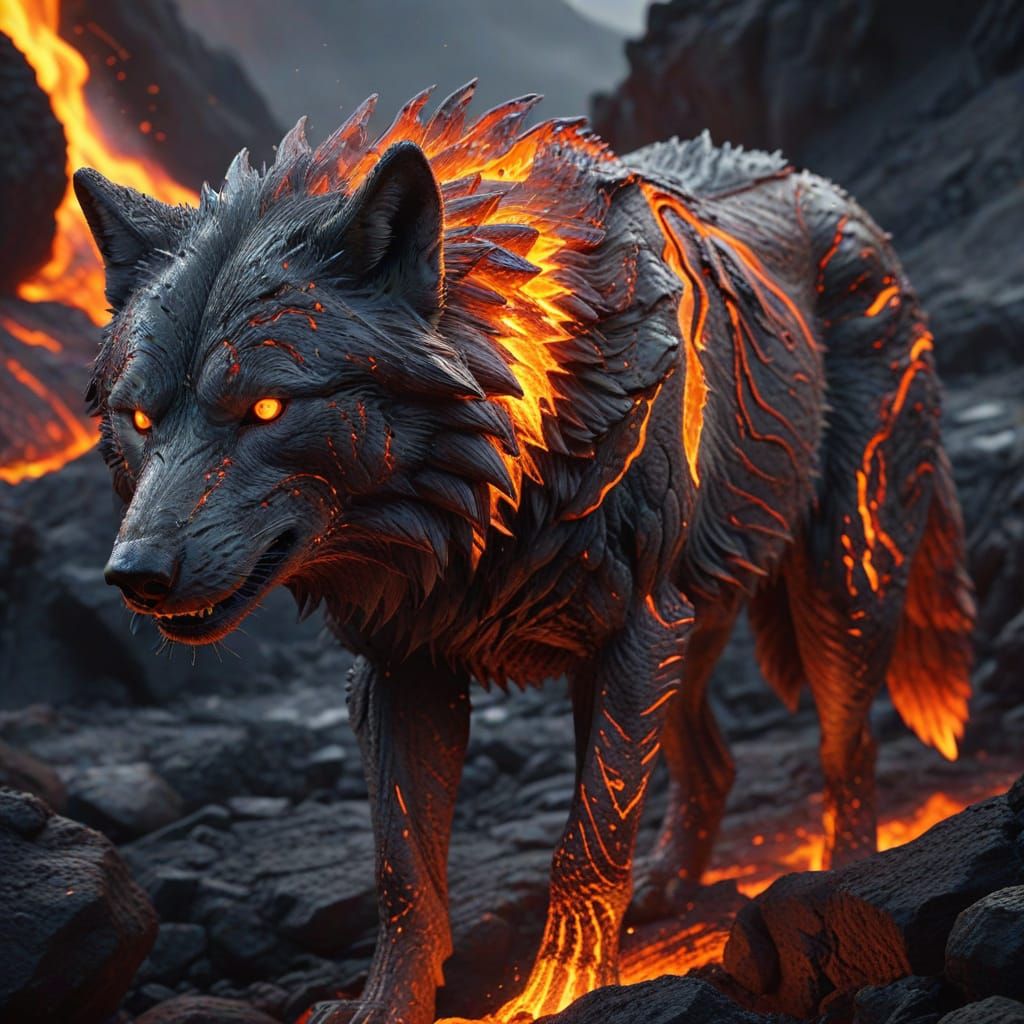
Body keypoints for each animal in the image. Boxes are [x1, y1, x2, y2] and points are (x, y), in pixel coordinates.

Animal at [75, 83, 974, 1024]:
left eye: (265, 408)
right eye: (139, 418)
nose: (136, 575)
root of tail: (836, 195)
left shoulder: (633, 634)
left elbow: (587, 838)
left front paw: (561, 989)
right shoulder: (403, 663)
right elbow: (404, 869)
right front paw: (385, 1005)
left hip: (841, 581)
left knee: (847, 751)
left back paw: (839, 878)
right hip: (693, 625)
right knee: (714, 764)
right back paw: (665, 888)